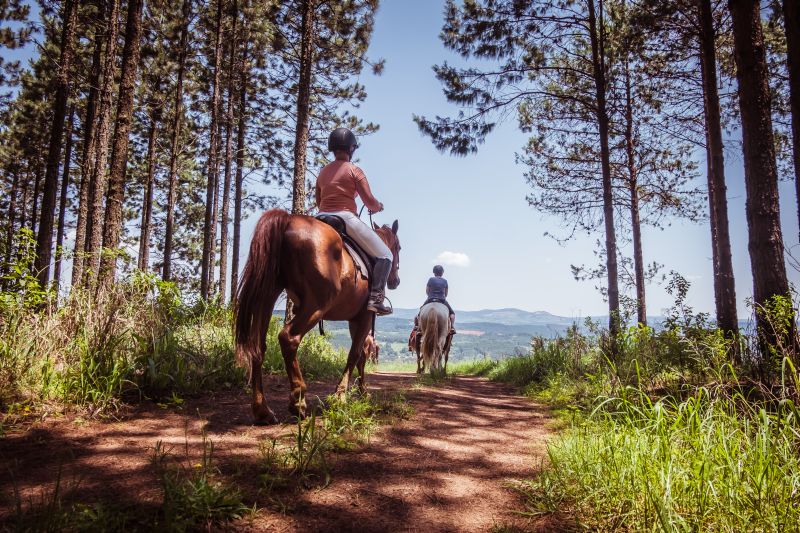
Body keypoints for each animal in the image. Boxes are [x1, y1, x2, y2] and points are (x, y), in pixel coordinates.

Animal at [236, 210, 400, 422]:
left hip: (267, 296)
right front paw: (341, 396)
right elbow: (355, 354)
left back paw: (262, 410)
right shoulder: (363, 317)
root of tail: (288, 220)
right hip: (315, 305)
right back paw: (298, 401)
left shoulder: (354, 320)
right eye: (398, 247)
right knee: (288, 338)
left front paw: (362, 392)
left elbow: (360, 356)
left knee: (257, 346)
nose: (396, 281)